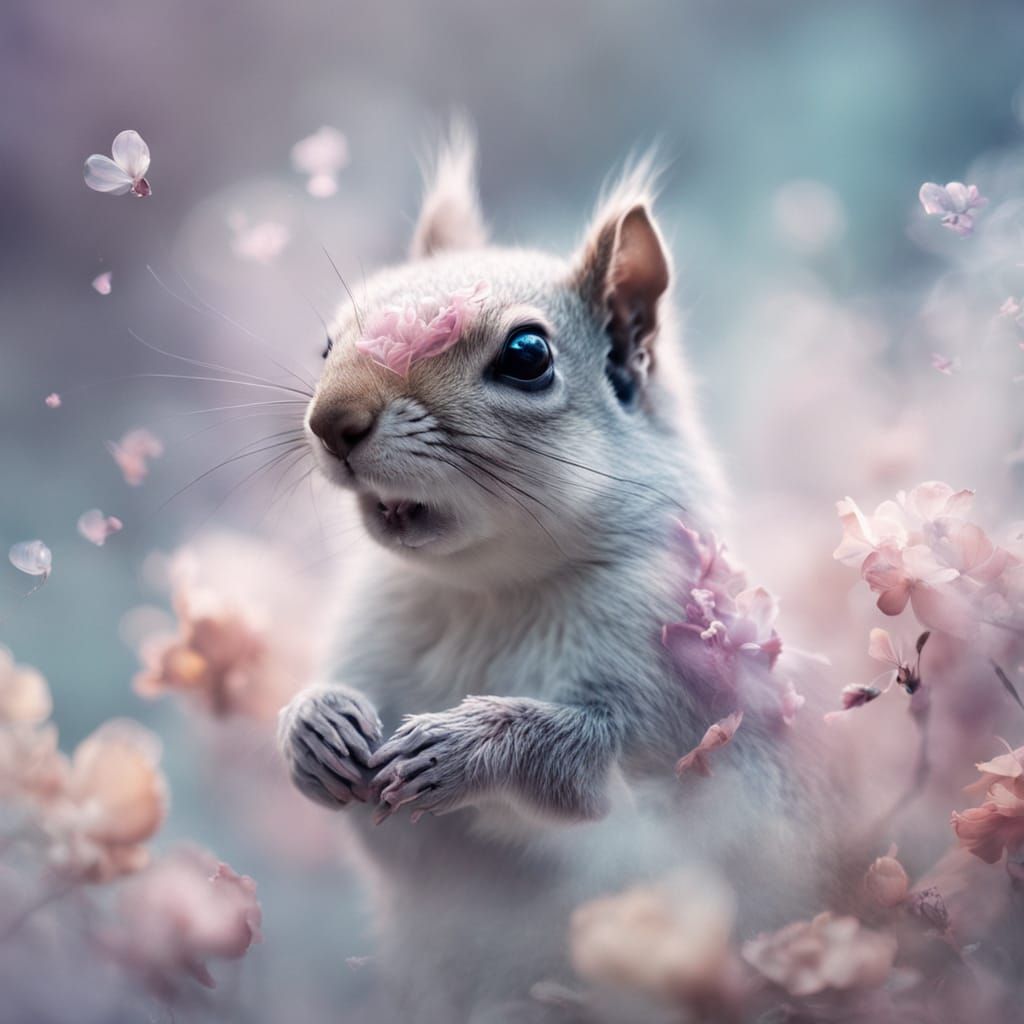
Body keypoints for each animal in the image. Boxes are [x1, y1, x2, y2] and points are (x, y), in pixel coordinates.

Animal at [278, 124, 835, 1023]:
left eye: (527, 355)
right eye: (327, 341)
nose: (330, 421)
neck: (482, 591)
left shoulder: (678, 696)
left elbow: (590, 773)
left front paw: (468, 744)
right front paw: (316, 727)